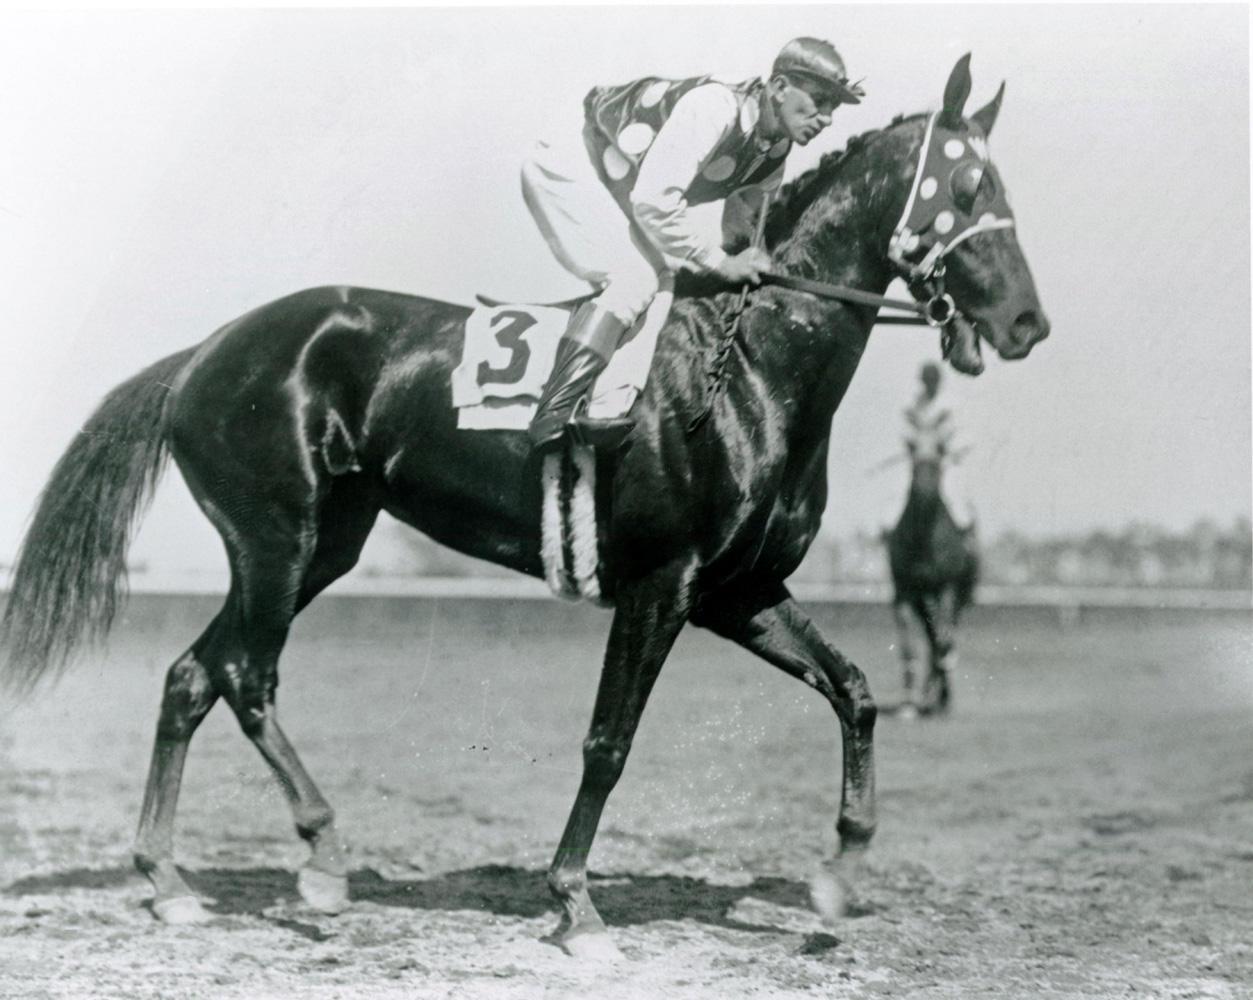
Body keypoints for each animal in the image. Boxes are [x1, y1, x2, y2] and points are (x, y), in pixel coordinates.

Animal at [882, 416, 977, 721]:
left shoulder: (946, 588)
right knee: (931, 636)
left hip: (961, 596)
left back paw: (940, 694)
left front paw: (940, 696)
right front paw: (909, 701)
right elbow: (908, 645)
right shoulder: (904, 591)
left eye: (942, 448)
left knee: (946, 636)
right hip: (923, 599)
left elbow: (943, 641)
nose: (923, 489)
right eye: (911, 446)